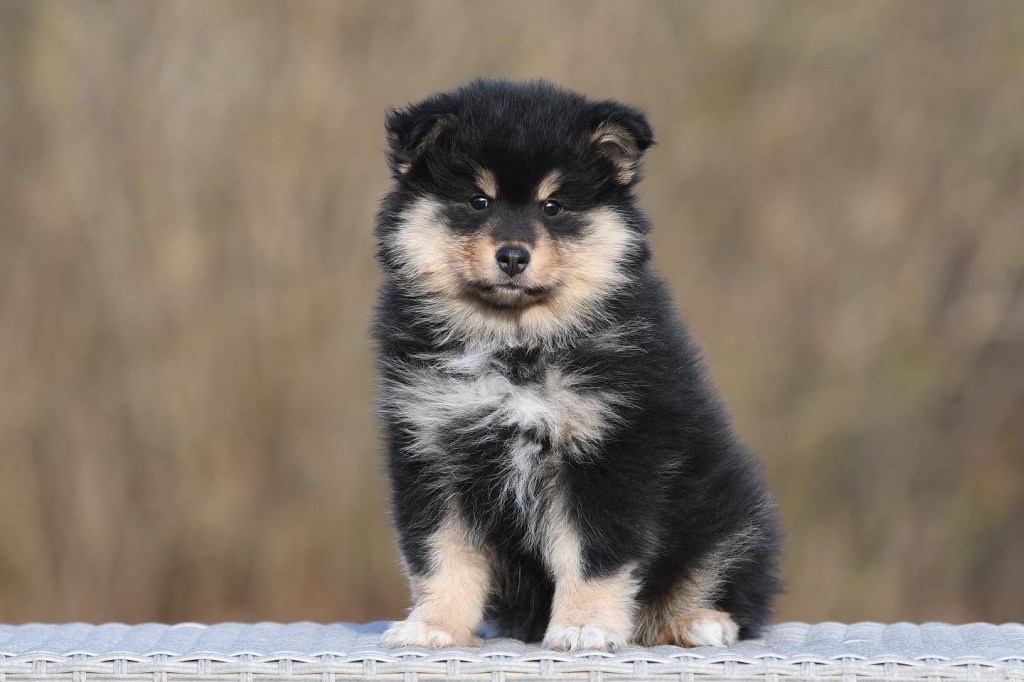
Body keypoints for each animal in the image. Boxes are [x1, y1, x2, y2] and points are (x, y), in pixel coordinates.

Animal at [373, 79, 781, 652]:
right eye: (477, 200)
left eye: (554, 205)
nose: (513, 255)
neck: (515, 342)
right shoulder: (432, 451)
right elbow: (442, 554)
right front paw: (433, 625)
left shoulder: (606, 452)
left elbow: (592, 556)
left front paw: (585, 625)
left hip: (724, 509)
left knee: (717, 575)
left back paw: (697, 621)